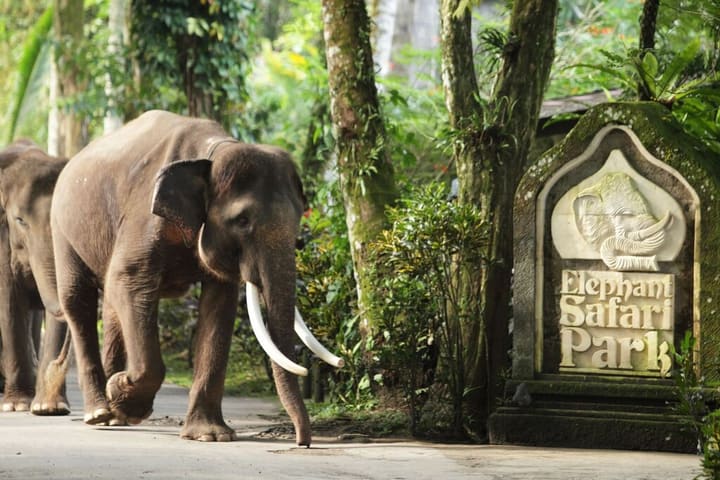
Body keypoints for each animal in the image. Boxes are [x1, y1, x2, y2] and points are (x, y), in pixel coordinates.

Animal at [50, 110, 342, 445]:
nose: (302, 441)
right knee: (78, 300)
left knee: (110, 307)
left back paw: (113, 416)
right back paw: (99, 412)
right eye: (242, 220)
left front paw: (210, 436)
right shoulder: (143, 216)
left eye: (299, 218)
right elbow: (130, 281)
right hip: (61, 228)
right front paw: (125, 396)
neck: (213, 152)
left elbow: (219, 303)